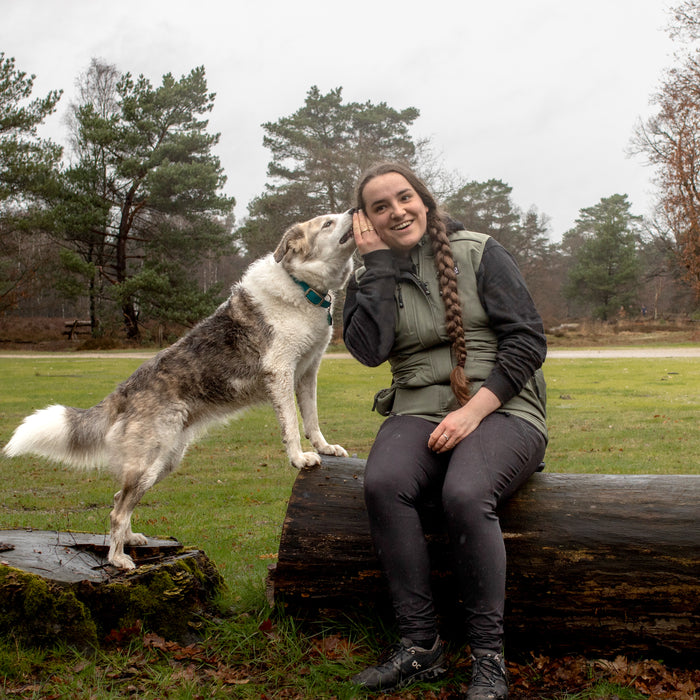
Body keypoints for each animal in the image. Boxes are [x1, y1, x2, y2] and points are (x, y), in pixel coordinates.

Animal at [2, 209, 356, 568]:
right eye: (327, 223)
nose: (354, 211)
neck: (302, 288)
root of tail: (125, 390)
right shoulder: (281, 375)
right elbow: (292, 427)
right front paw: (299, 459)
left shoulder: (307, 374)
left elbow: (312, 420)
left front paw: (325, 447)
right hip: (148, 464)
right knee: (117, 510)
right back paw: (118, 559)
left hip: (164, 462)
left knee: (118, 498)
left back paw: (130, 539)